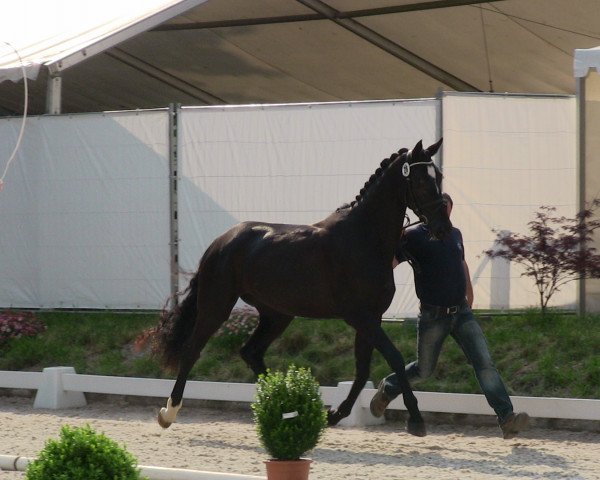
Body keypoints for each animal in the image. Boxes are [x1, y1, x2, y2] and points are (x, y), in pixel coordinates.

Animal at [152, 138, 452, 436]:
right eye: (422, 180)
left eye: (439, 177)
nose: (443, 229)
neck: (363, 238)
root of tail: (221, 241)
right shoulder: (360, 317)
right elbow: (394, 358)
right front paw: (416, 420)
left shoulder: (371, 318)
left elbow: (362, 370)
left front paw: (334, 415)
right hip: (217, 306)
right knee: (193, 349)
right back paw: (169, 412)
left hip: (277, 314)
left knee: (251, 352)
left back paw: (288, 411)